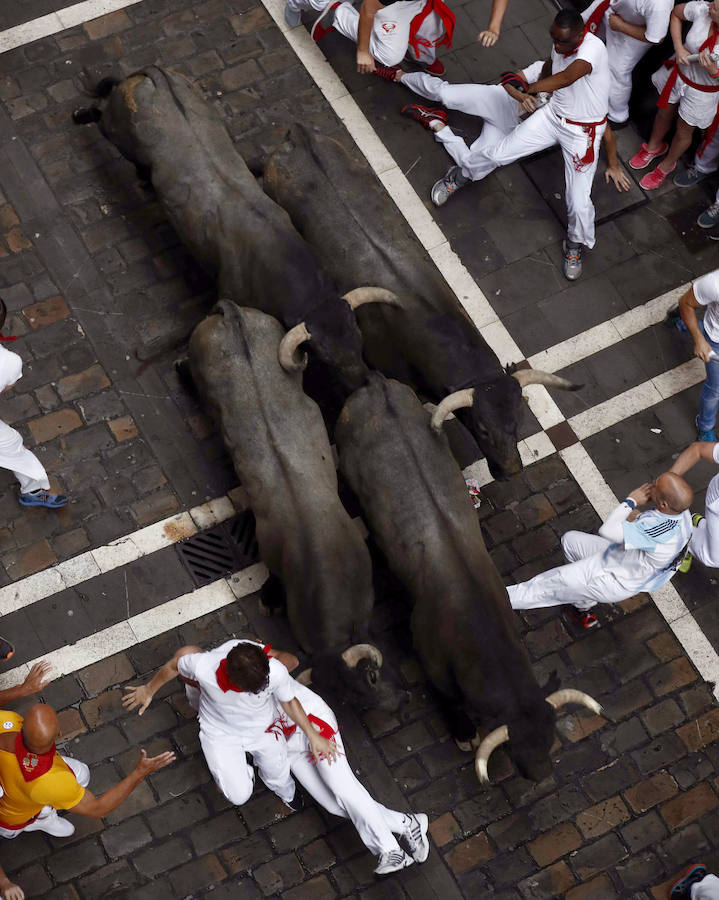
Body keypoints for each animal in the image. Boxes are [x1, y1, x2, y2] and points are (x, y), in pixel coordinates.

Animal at [74, 67, 382, 394]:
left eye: (358, 340)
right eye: (325, 357)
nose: (362, 382)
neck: (278, 258)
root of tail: (157, 76)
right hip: (116, 130)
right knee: (101, 113)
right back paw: (80, 115)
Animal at [338, 372, 600, 780]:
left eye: (550, 739)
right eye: (516, 750)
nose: (541, 775)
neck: (477, 620)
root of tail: (375, 383)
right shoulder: (434, 667)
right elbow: (451, 703)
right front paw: (463, 733)